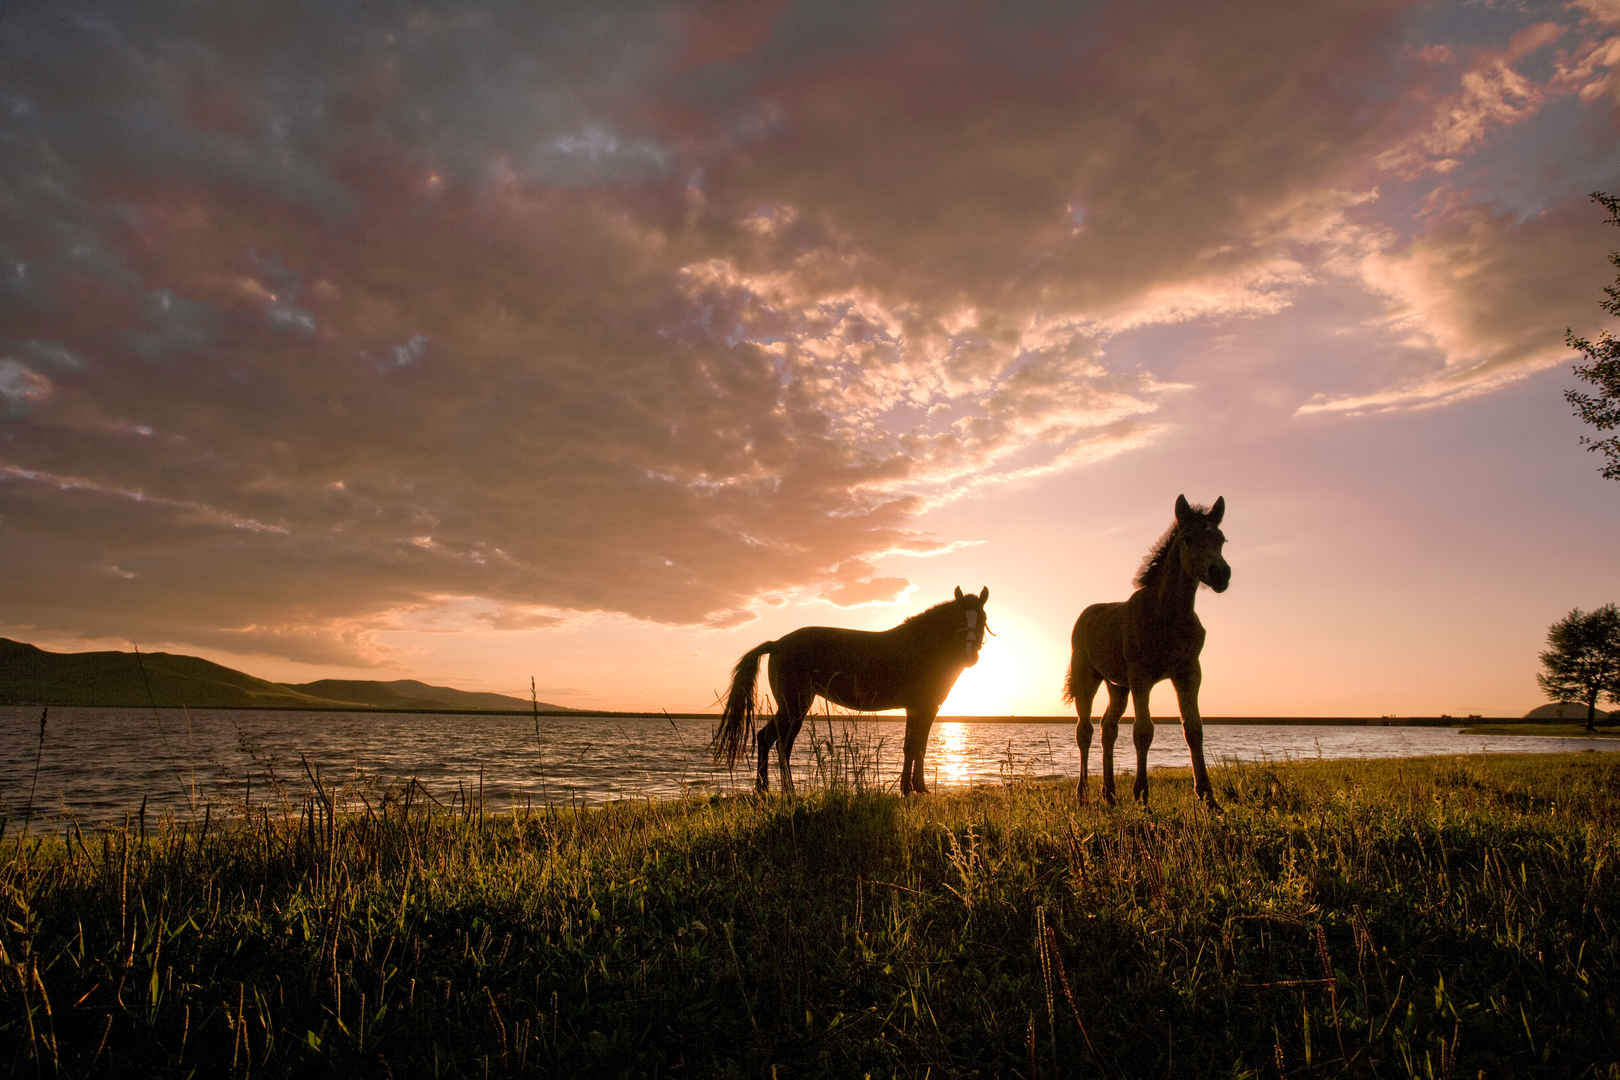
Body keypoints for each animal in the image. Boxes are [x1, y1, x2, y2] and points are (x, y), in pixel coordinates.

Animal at [709, 586, 984, 799]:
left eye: (981, 619)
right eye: (959, 620)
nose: (970, 656)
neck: (922, 647)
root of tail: (777, 644)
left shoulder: (920, 709)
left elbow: (917, 747)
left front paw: (915, 787)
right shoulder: (922, 708)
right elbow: (914, 747)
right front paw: (911, 789)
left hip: (793, 708)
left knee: (773, 741)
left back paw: (769, 790)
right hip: (794, 706)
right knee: (774, 741)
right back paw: (779, 790)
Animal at [1062, 495, 1224, 806]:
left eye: (1221, 539)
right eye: (1188, 538)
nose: (1221, 574)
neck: (1168, 615)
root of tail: (1085, 614)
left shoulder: (1188, 673)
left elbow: (1193, 729)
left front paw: (1208, 797)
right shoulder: (1141, 677)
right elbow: (1143, 731)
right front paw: (1142, 793)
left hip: (1117, 686)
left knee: (1108, 728)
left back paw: (1110, 793)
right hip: (1087, 677)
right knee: (1084, 730)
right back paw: (1083, 794)